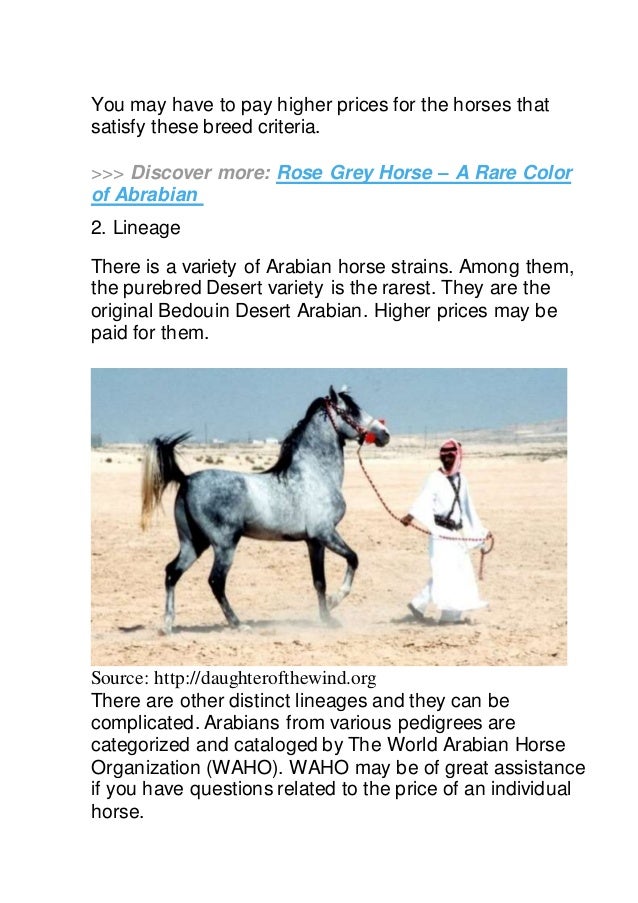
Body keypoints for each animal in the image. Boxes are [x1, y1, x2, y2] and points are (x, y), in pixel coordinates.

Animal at [141, 386, 390, 633]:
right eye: (353, 411)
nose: (385, 434)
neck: (315, 475)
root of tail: (186, 479)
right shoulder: (325, 533)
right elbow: (353, 559)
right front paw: (334, 601)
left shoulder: (314, 541)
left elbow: (319, 581)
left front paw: (327, 619)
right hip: (224, 544)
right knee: (215, 581)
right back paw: (238, 625)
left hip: (193, 543)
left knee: (172, 572)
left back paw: (167, 625)